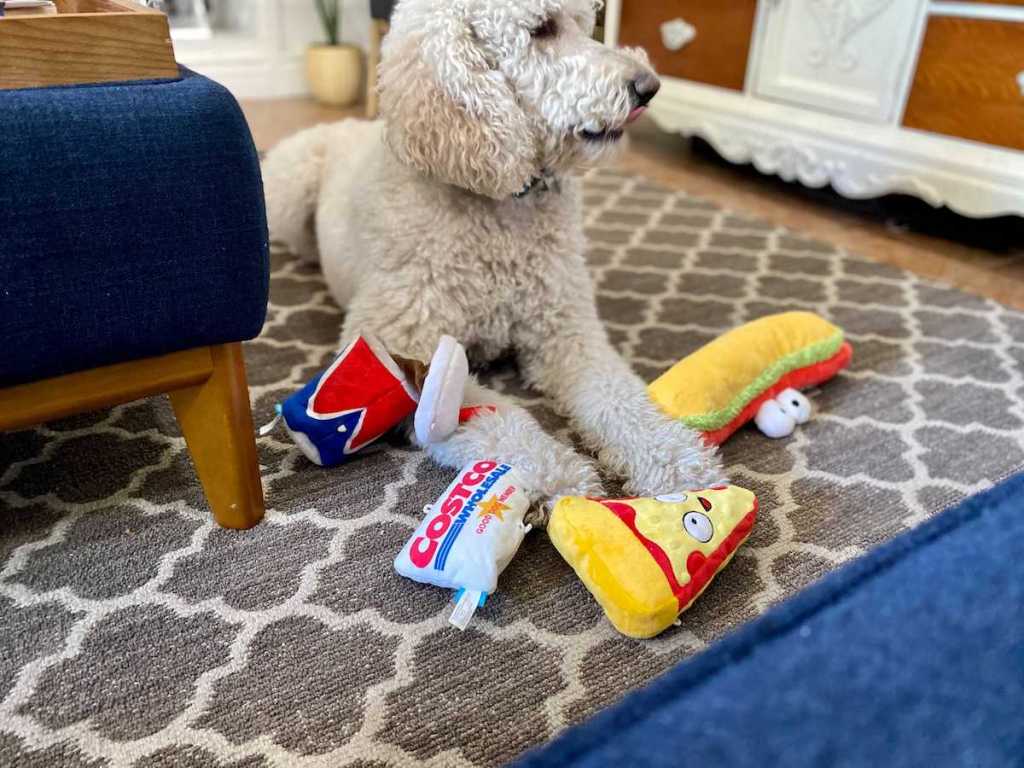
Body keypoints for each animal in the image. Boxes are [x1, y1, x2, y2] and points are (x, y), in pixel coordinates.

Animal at [266, 0, 729, 524]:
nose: (648, 85)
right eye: (542, 29)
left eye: (588, 22)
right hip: (289, 192)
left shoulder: (566, 332)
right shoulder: (406, 348)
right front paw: (556, 475)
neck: (499, 205)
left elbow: (619, 397)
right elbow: (498, 419)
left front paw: (675, 458)